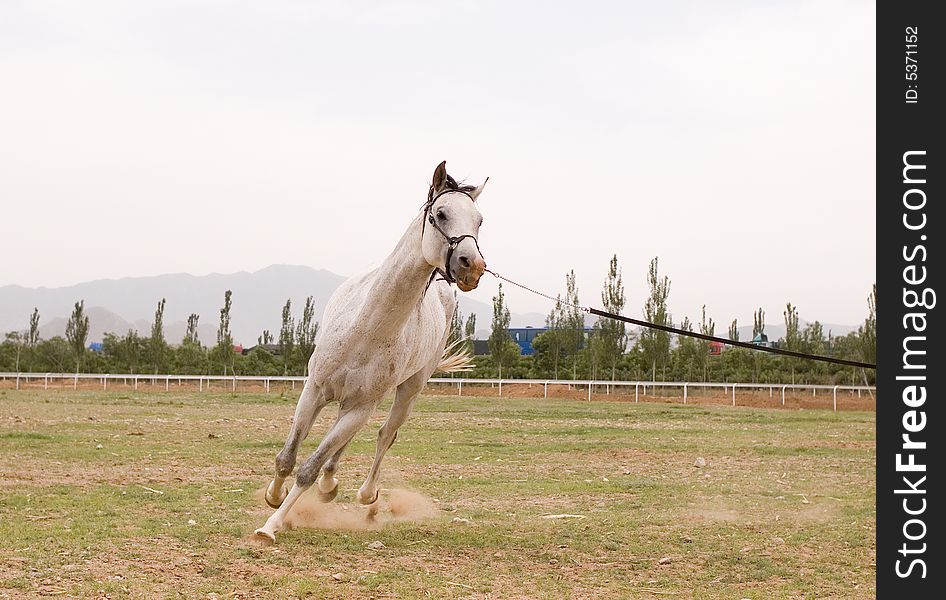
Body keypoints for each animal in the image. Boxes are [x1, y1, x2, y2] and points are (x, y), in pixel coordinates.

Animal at [253, 162, 486, 540]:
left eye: (479, 220)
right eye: (440, 213)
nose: (472, 265)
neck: (366, 329)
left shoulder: (362, 406)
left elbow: (309, 467)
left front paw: (270, 526)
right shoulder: (314, 389)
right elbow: (287, 458)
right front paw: (274, 496)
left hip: (406, 390)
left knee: (384, 435)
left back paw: (364, 493)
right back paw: (329, 485)